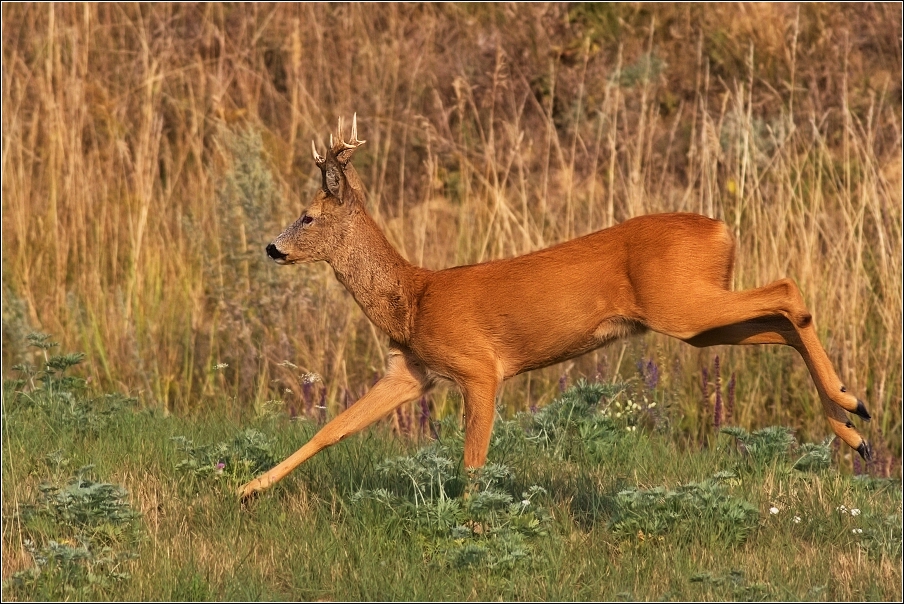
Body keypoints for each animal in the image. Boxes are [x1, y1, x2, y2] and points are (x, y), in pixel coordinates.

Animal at [238, 114, 868, 500]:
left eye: (308, 217)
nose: (271, 246)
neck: (412, 297)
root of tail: (724, 230)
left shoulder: (478, 367)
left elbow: (472, 460)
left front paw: (470, 524)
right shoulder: (412, 370)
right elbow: (332, 429)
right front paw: (247, 489)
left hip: (684, 304)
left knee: (787, 290)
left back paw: (852, 408)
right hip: (696, 321)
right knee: (781, 322)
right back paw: (852, 426)